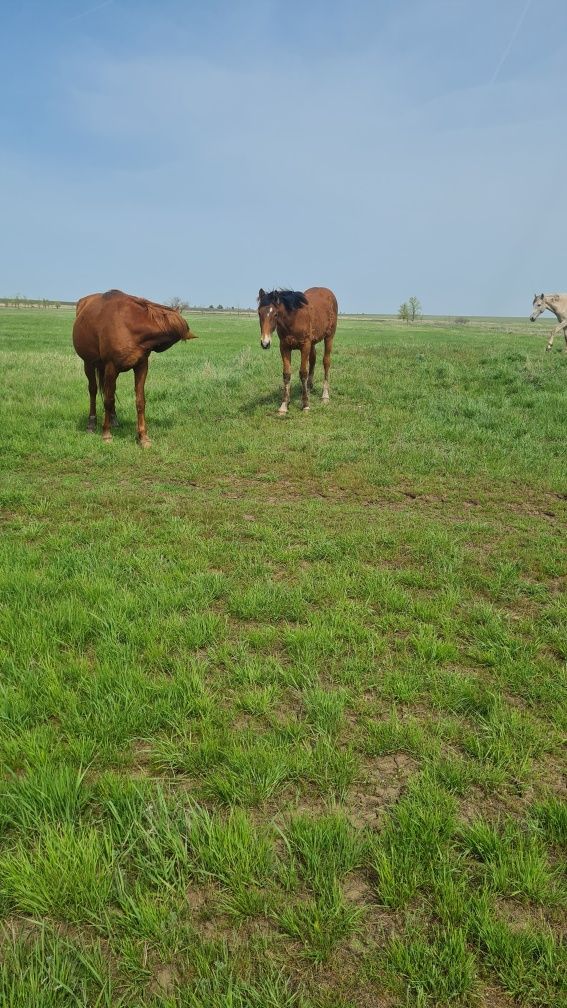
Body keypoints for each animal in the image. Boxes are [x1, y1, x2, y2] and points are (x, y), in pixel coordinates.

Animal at [72, 292, 196, 449]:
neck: (130, 326)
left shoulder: (141, 366)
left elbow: (139, 401)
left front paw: (143, 437)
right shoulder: (111, 367)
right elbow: (108, 400)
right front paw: (106, 434)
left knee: (108, 391)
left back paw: (113, 419)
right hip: (89, 364)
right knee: (93, 390)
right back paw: (91, 423)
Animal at [256, 284, 334, 413]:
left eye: (275, 314)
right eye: (259, 313)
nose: (265, 343)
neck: (293, 319)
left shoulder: (305, 345)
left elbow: (303, 373)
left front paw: (306, 405)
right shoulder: (284, 347)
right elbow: (287, 374)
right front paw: (284, 405)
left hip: (329, 337)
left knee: (326, 362)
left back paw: (325, 396)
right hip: (313, 342)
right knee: (313, 360)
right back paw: (308, 388)